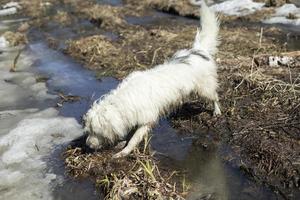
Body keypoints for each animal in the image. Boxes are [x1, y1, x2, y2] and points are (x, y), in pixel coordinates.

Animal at [84, 1, 220, 158]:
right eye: (89, 131)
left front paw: (124, 152)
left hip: (205, 88)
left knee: (215, 97)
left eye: (96, 132)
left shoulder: (146, 120)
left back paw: (217, 112)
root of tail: (199, 50)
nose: (87, 145)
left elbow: (134, 139)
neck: (121, 103)